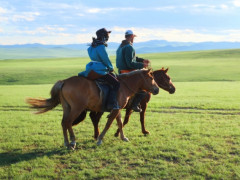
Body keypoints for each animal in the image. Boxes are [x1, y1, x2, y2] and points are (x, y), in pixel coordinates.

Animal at [26, 69, 159, 149]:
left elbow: (120, 123)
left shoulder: (118, 109)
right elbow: (109, 124)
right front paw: (100, 139)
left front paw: (123, 137)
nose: (157, 89)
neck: (123, 86)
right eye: (152, 78)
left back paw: (67, 143)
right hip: (76, 108)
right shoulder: (115, 110)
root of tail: (64, 82)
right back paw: (73, 142)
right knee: (68, 122)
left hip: (67, 108)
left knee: (64, 123)